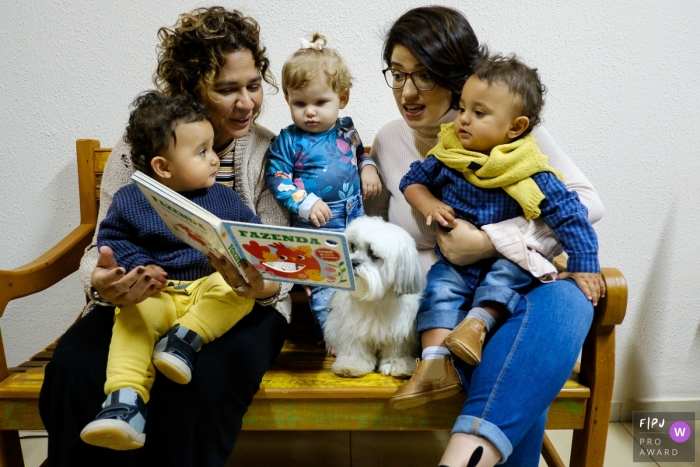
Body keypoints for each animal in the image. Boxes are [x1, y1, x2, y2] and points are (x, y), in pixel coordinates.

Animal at [324, 218, 426, 378]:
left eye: (373, 254)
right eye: (352, 247)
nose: (353, 262)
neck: (375, 299)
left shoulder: (399, 332)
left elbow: (396, 350)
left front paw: (396, 364)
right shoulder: (353, 327)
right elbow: (355, 347)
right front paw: (352, 364)